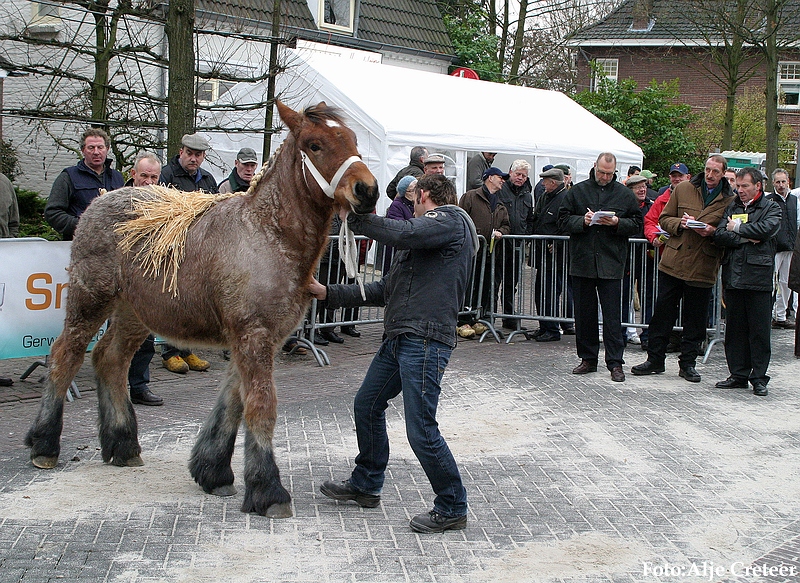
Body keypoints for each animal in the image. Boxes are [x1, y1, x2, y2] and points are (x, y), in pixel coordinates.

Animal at [21, 102, 378, 516]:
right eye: (315, 144)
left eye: (352, 139)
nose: (368, 190)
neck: (268, 234)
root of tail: (99, 200)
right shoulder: (253, 335)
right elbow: (260, 405)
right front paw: (268, 490)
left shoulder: (257, 339)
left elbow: (233, 401)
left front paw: (214, 472)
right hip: (89, 301)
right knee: (65, 355)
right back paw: (45, 445)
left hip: (134, 314)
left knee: (110, 360)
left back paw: (123, 445)